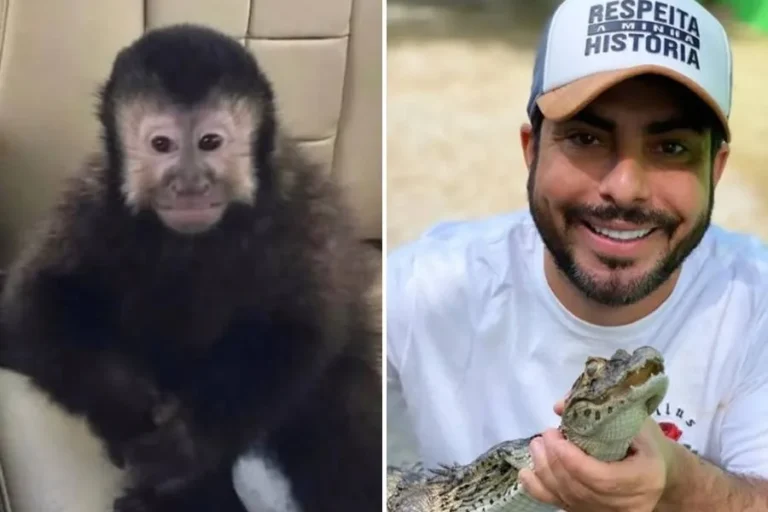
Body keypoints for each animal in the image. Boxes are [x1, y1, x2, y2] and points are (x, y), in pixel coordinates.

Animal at [0, 23, 382, 512]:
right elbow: (35, 301)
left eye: (209, 143)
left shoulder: (299, 207)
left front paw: (189, 442)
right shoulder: (91, 203)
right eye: (161, 145)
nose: (189, 185)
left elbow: (302, 329)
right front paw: (127, 409)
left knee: (342, 412)